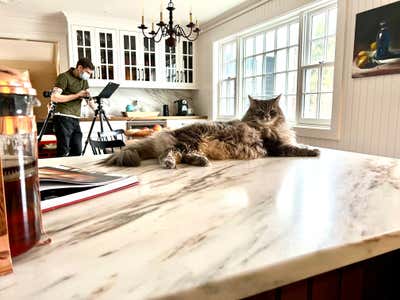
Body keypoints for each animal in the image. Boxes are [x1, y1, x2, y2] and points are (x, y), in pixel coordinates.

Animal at [102, 95, 318, 168]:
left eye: (272, 111)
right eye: (259, 112)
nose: (266, 117)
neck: (271, 127)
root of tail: (169, 132)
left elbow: (298, 143)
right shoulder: (276, 146)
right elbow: (297, 148)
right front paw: (315, 151)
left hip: (192, 145)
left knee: (182, 156)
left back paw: (200, 161)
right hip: (189, 141)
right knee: (167, 155)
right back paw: (172, 163)